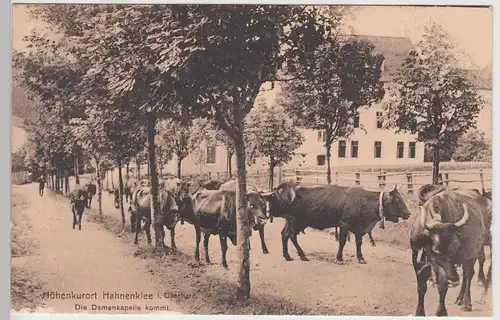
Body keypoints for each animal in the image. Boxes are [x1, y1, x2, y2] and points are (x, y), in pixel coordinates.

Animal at [262, 181, 410, 264]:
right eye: (397, 201)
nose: (408, 214)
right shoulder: (344, 224)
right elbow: (342, 242)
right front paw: (339, 259)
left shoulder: (358, 229)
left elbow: (359, 243)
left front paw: (361, 258)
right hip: (296, 221)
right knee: (291, 236)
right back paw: (302, 255)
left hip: (292, 221)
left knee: (284, 235)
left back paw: (287, 256)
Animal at [410, 185, 492, 316]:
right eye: (435, 249)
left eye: (452, 248)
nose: (454, 279)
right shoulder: (416, 260)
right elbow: (421, 287)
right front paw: (419, 312)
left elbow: (443, 286)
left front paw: (441, 311)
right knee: (465, 274)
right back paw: (459, 298)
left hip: (473, 254)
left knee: (469, 274)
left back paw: (466, 303)